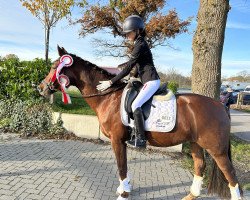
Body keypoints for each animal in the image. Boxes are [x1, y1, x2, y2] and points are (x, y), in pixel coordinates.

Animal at [38, 46, 242, 200]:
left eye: (55, 66)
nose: (40, 88)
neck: (108, 98)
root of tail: (220, 105)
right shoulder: (121, 142)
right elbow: (124, 166)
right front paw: (124, 188)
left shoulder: (116, 141)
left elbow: (121, 167)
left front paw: (124, 194)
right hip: (195, 143)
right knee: (200, 166)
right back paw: (191, 195)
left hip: (217, 150)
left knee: (231, 174)